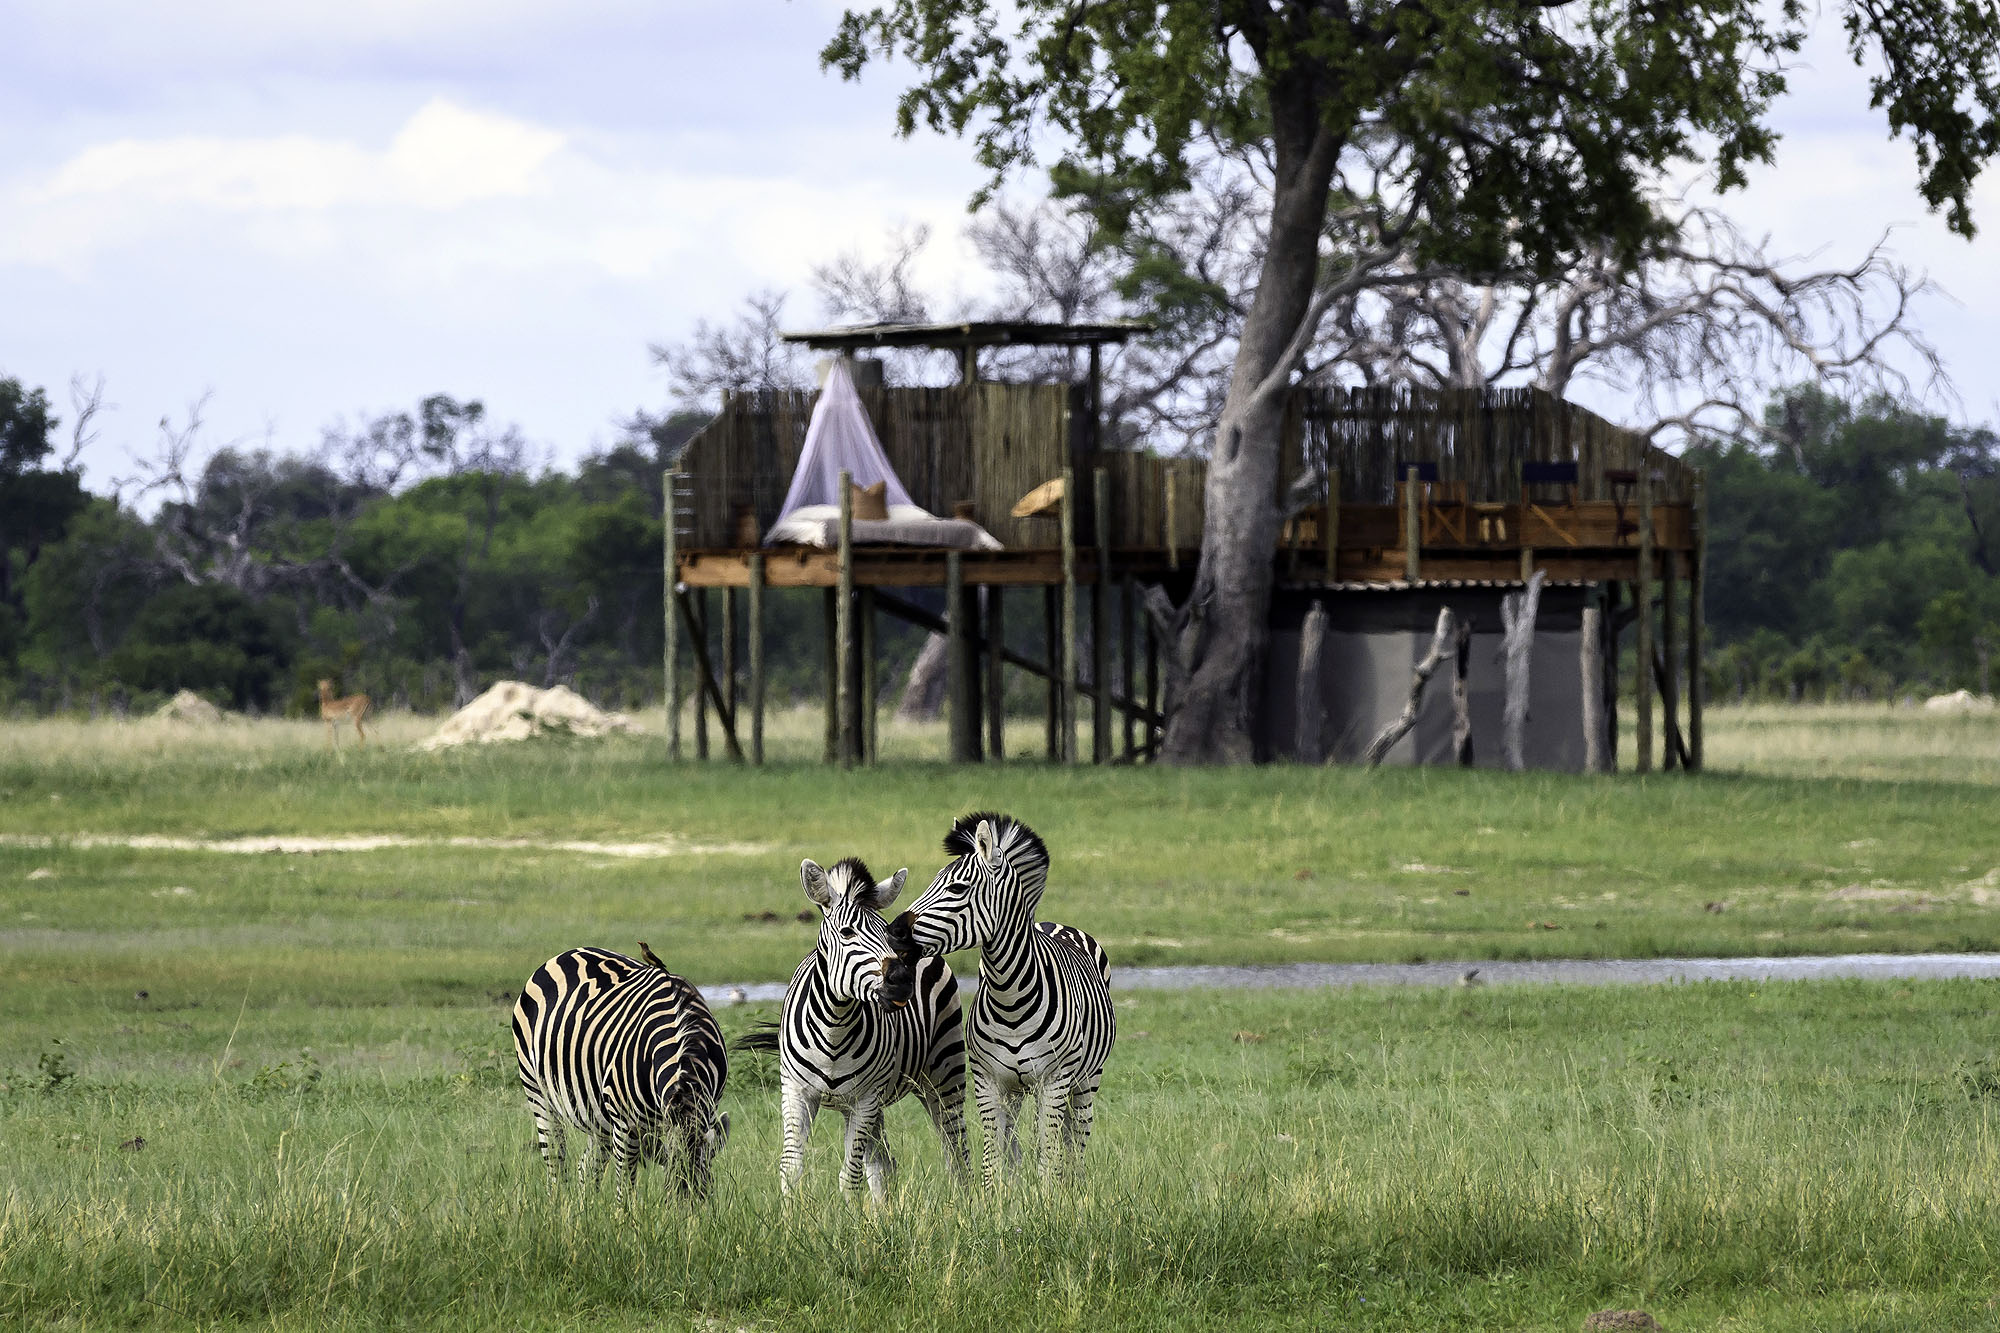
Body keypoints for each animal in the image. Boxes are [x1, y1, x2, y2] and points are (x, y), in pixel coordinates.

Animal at [511, 944, 730, 1199]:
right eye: (667, 1199)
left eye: (708, 1194)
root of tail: (569, 952)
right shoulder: (626, 1125)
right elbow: (625, 1185)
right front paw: (626, 1212)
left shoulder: (708, 1108)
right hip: (537, 1090)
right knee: (555, 1159)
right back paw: (559, 1204)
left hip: (598, 1115)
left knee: (587, 1167)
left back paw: (588, 1208)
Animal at [734, 857, 969, 1201]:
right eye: (846, 932)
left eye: (886, 932)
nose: (902, 979)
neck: (835, 1027)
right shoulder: (796, 1091)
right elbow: (791, 1167)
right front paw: (791, 1216)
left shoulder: (865, 1099)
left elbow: (850, 1175)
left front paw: (848, 1217)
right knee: (884, 1163)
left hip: (943, 1076)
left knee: (955, 1150)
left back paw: (965, 1203)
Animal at [905, 813, 1114, 1184]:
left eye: (957, 888)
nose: (896, 930)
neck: (1010, 997)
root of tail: (1051, 922)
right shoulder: (988, 1081)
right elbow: (993, 1156)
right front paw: (996, 1198)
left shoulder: (1054, 1080)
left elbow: (1049, 1157)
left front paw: (1048, 1199)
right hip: (1016, 1090)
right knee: (1014, 1141)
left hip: (1087, 1080)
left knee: (1076, 1141)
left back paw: (1074, 1185)